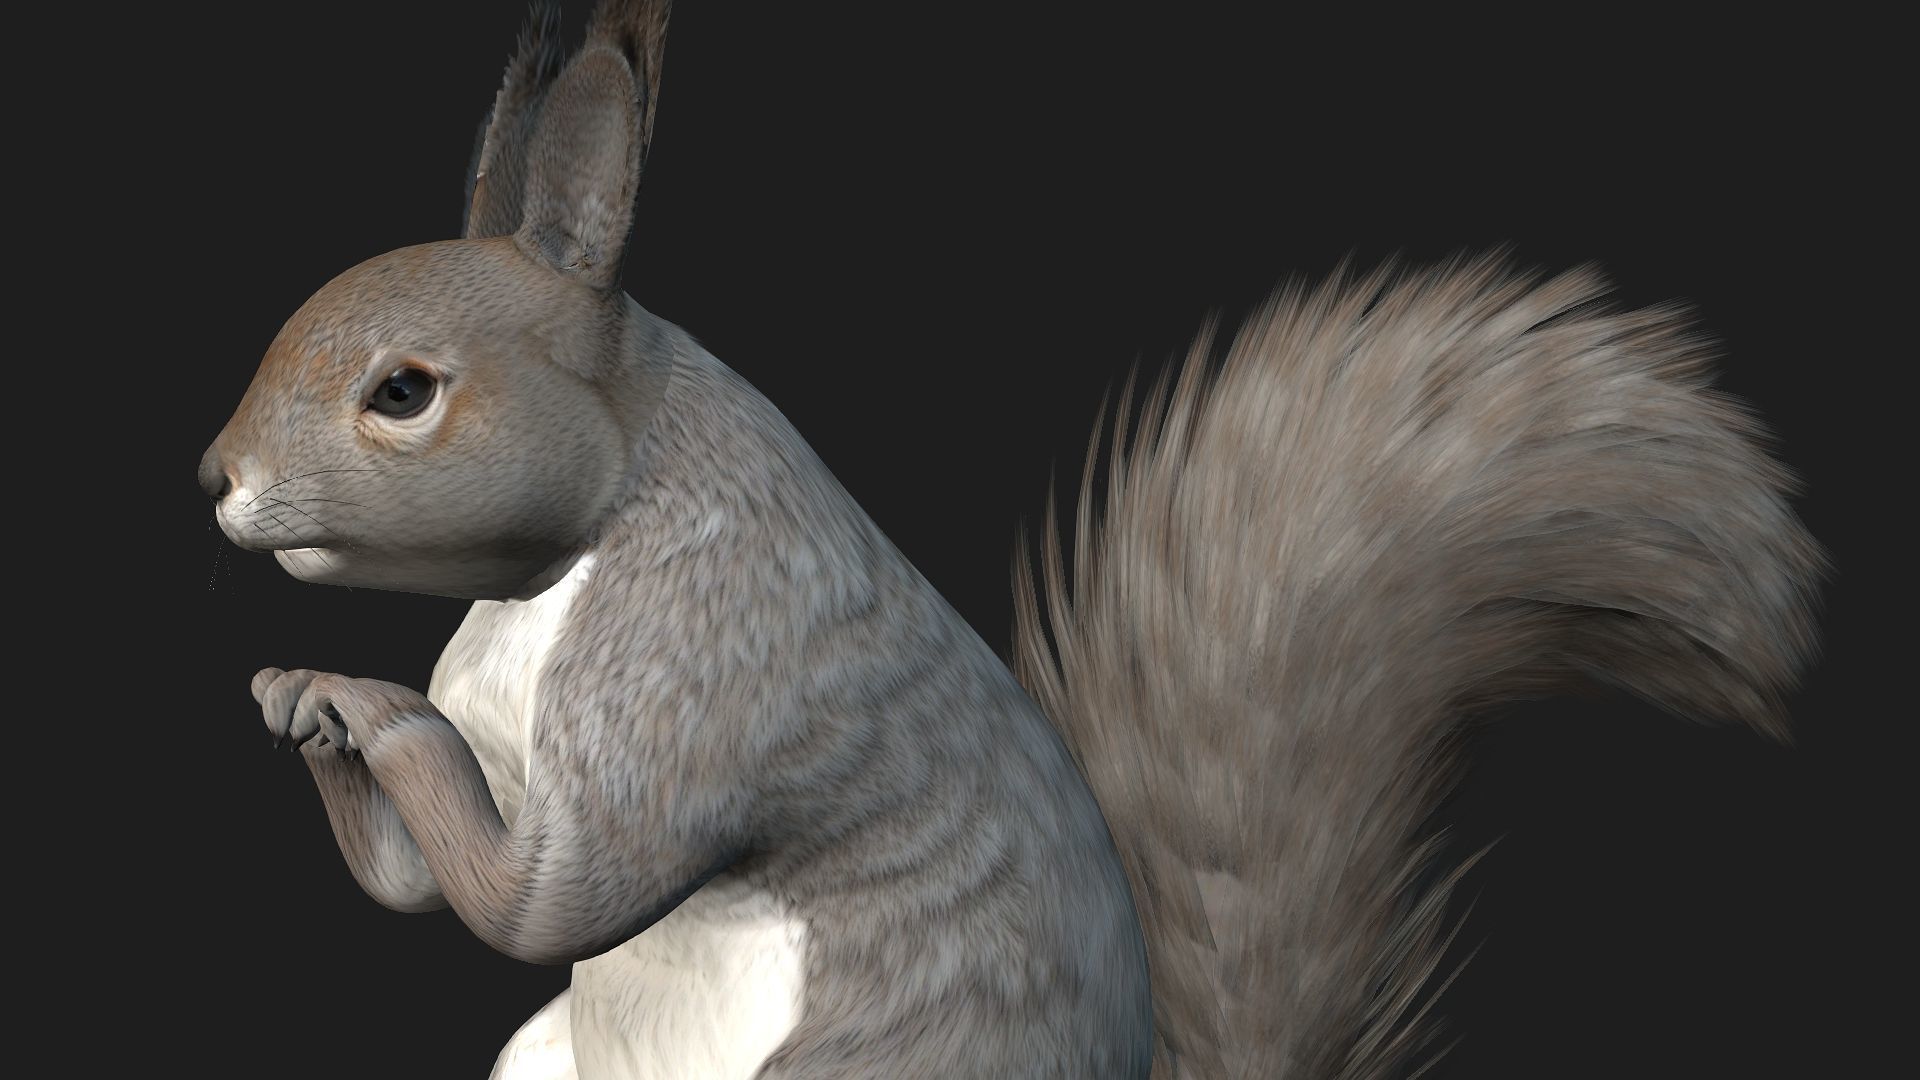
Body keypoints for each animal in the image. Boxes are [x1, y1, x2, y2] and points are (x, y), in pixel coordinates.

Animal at [197, 2, 1823, 1077]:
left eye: (404, 392)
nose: (215, 477)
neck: (568, 562)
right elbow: (430, 888)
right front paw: (297, 706)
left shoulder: (696, 660)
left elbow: (546, 903)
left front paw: (360, 704)